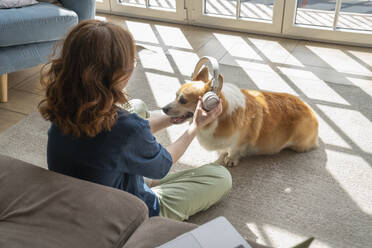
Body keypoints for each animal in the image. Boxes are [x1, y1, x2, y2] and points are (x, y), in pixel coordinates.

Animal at [161, 67, 318, 167]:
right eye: (175, 95)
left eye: (183, 100)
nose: (163, 109)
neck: (220, 118)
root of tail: (310, 111)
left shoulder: (241, 140)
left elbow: (234, 149)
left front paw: (230, 159)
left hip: (299, 144)